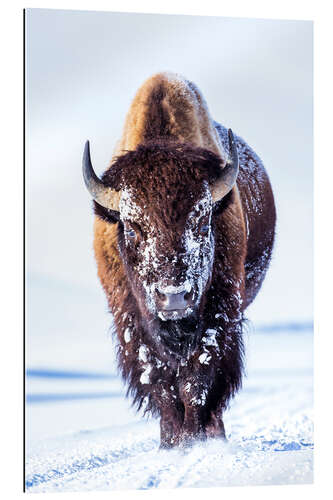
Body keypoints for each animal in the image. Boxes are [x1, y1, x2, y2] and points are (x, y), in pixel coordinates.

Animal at [82, 71, 274, 450]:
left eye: (202, 222)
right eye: (132, 228)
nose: (173, 297)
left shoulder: (219, 316)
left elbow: (196, 381)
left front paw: (194, 441)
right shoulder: (132, 323)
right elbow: (160, 384)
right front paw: (172, 444)